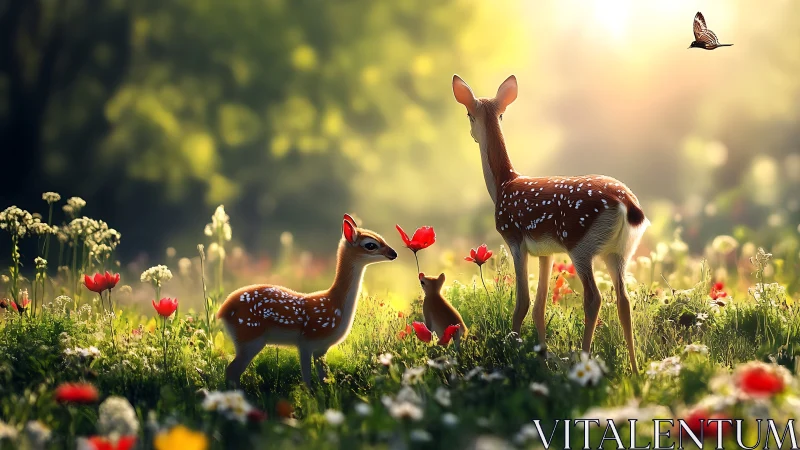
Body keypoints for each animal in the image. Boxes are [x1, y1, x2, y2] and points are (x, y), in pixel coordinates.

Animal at [216, 214, 397, 388]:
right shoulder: (306, 340)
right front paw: (310, 395)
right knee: (232, 370)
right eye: (371, 245)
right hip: (250, 335)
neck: (336, 304)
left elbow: (324, 378)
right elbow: (307, 377)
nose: (394, 253)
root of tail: (223, 310)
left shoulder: (322, 348)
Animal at [452, 74, 649, 372]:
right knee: (624, 300)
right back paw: (636, 371)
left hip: (580, 244)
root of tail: (626, 202)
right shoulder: (546, 252)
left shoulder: (514, 238)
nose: (472, 134)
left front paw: (513, 355)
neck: (503, 185)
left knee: (594, 298)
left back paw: (583, 362)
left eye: (468, 114)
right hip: (620, 251)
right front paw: (541, 357)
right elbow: (539, 307)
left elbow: (523, 302)